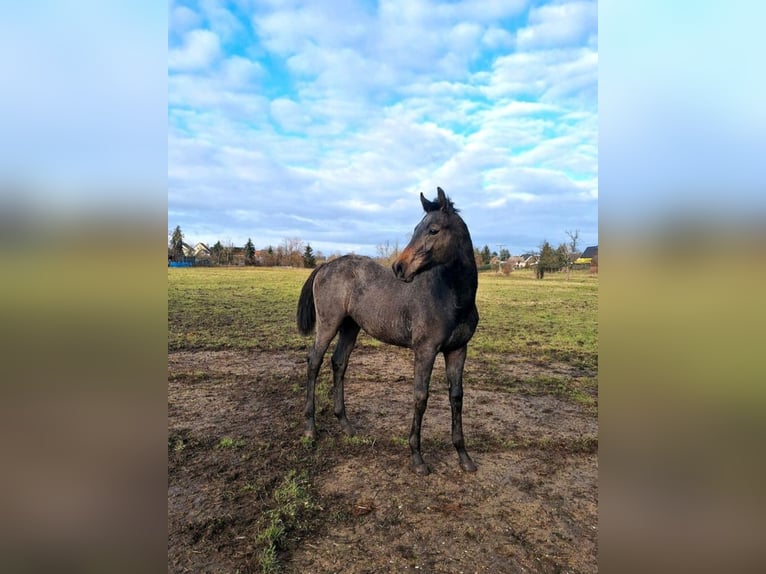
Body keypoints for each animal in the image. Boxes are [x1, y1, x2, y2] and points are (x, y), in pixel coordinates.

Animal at [296, 189, 476, 476]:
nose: (399, 267)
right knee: (314, 361)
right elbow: (420, 396)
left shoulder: (458, 350)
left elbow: (457, 397)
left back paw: (346, 425)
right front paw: (417, 458)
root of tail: (326, 266)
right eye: (416, 228)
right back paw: (310, 429)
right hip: (328, 323)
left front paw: (464, 456)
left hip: (350, 326)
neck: (453, 298)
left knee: (339, 363)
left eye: (433, 230)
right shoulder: (425, 350)